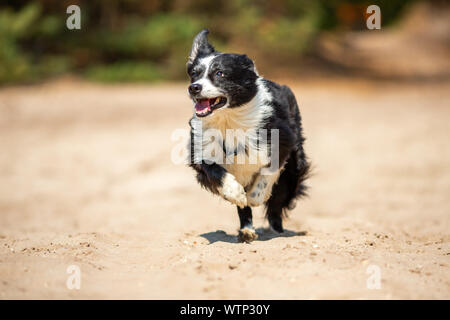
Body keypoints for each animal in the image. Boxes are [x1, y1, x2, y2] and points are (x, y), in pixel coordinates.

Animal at [186, 29, 310, 242]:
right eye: (194, 73)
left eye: (220, 73)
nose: (194, 87)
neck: (229, 121)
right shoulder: (200, 150)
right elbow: (215, 170)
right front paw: (234, 192)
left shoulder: (282, 142)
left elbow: (268, 172)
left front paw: (255, 196)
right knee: (245, 209)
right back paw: (246, 230)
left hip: (295, 165)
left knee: (278, 203)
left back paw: (276, 230)